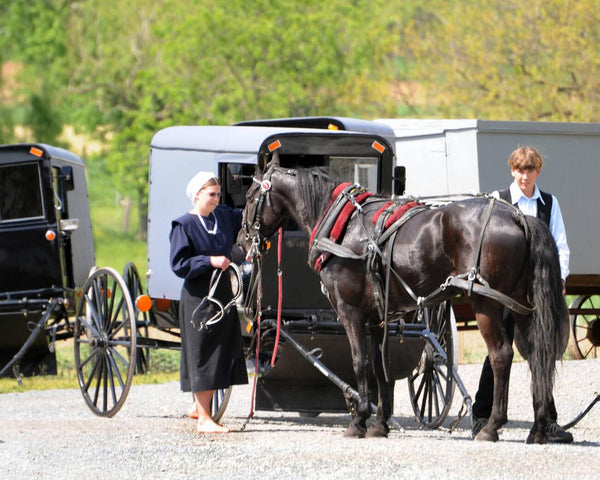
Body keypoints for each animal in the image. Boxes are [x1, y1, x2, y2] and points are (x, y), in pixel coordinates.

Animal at [238, 158, 568, 442]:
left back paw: (491, 427)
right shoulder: (376, 316)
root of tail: (517, 216)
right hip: (521, 307)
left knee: (501, 356)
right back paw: (538, 428)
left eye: (252, 196)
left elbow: (359, 362)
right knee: (536, 355)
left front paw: (359, 421)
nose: (242, 240)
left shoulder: (350, 311)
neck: (345, 227)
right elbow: (379, 365)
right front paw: (379, 423)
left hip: (487, 304)